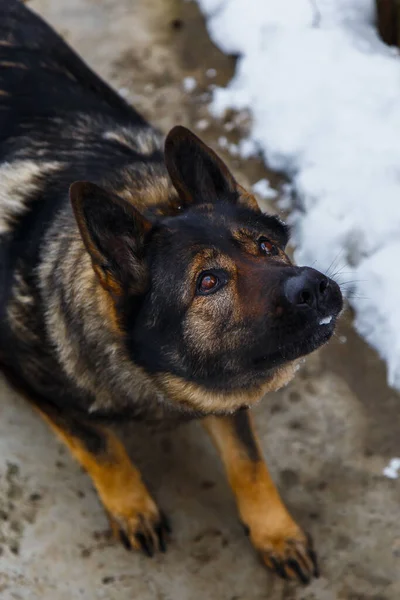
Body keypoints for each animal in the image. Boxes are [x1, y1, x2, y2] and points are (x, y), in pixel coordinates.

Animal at [0, 0, 344, 584]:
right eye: (208, 282)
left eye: (266, 246)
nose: (314, 288)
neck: (145, 375)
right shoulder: (28, 380)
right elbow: (100, 445)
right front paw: (132, 506)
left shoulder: (225, 384)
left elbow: (247, 461)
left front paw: (274, 531)